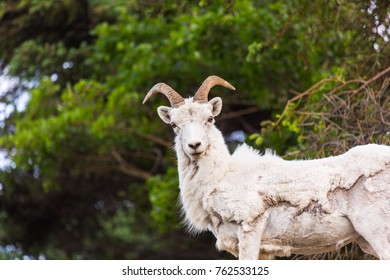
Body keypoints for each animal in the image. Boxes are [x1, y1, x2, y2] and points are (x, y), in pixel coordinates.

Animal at [142, 75, 390, 260]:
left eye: (210, 118)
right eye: (174, 125)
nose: (195, 146)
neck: (221, 177)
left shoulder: (250, 229)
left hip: (376, 230)